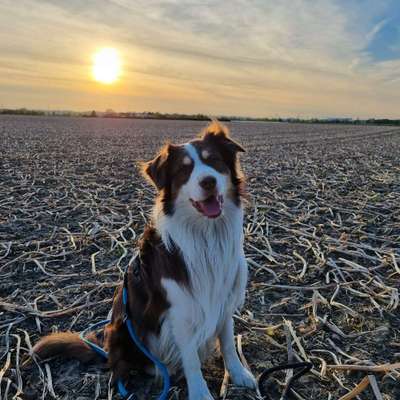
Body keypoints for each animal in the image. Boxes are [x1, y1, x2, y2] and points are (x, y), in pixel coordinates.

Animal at [35, 122, 260, 400]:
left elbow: (228, 342)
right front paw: (199, 392)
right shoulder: (181, 311)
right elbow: (191, 360)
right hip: (121, 330)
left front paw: (238, 374)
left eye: (214, 161)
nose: (208, 181)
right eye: (184, 170)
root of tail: (105, 348)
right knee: (126, 365)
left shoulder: (224, 299)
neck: (206, 237)